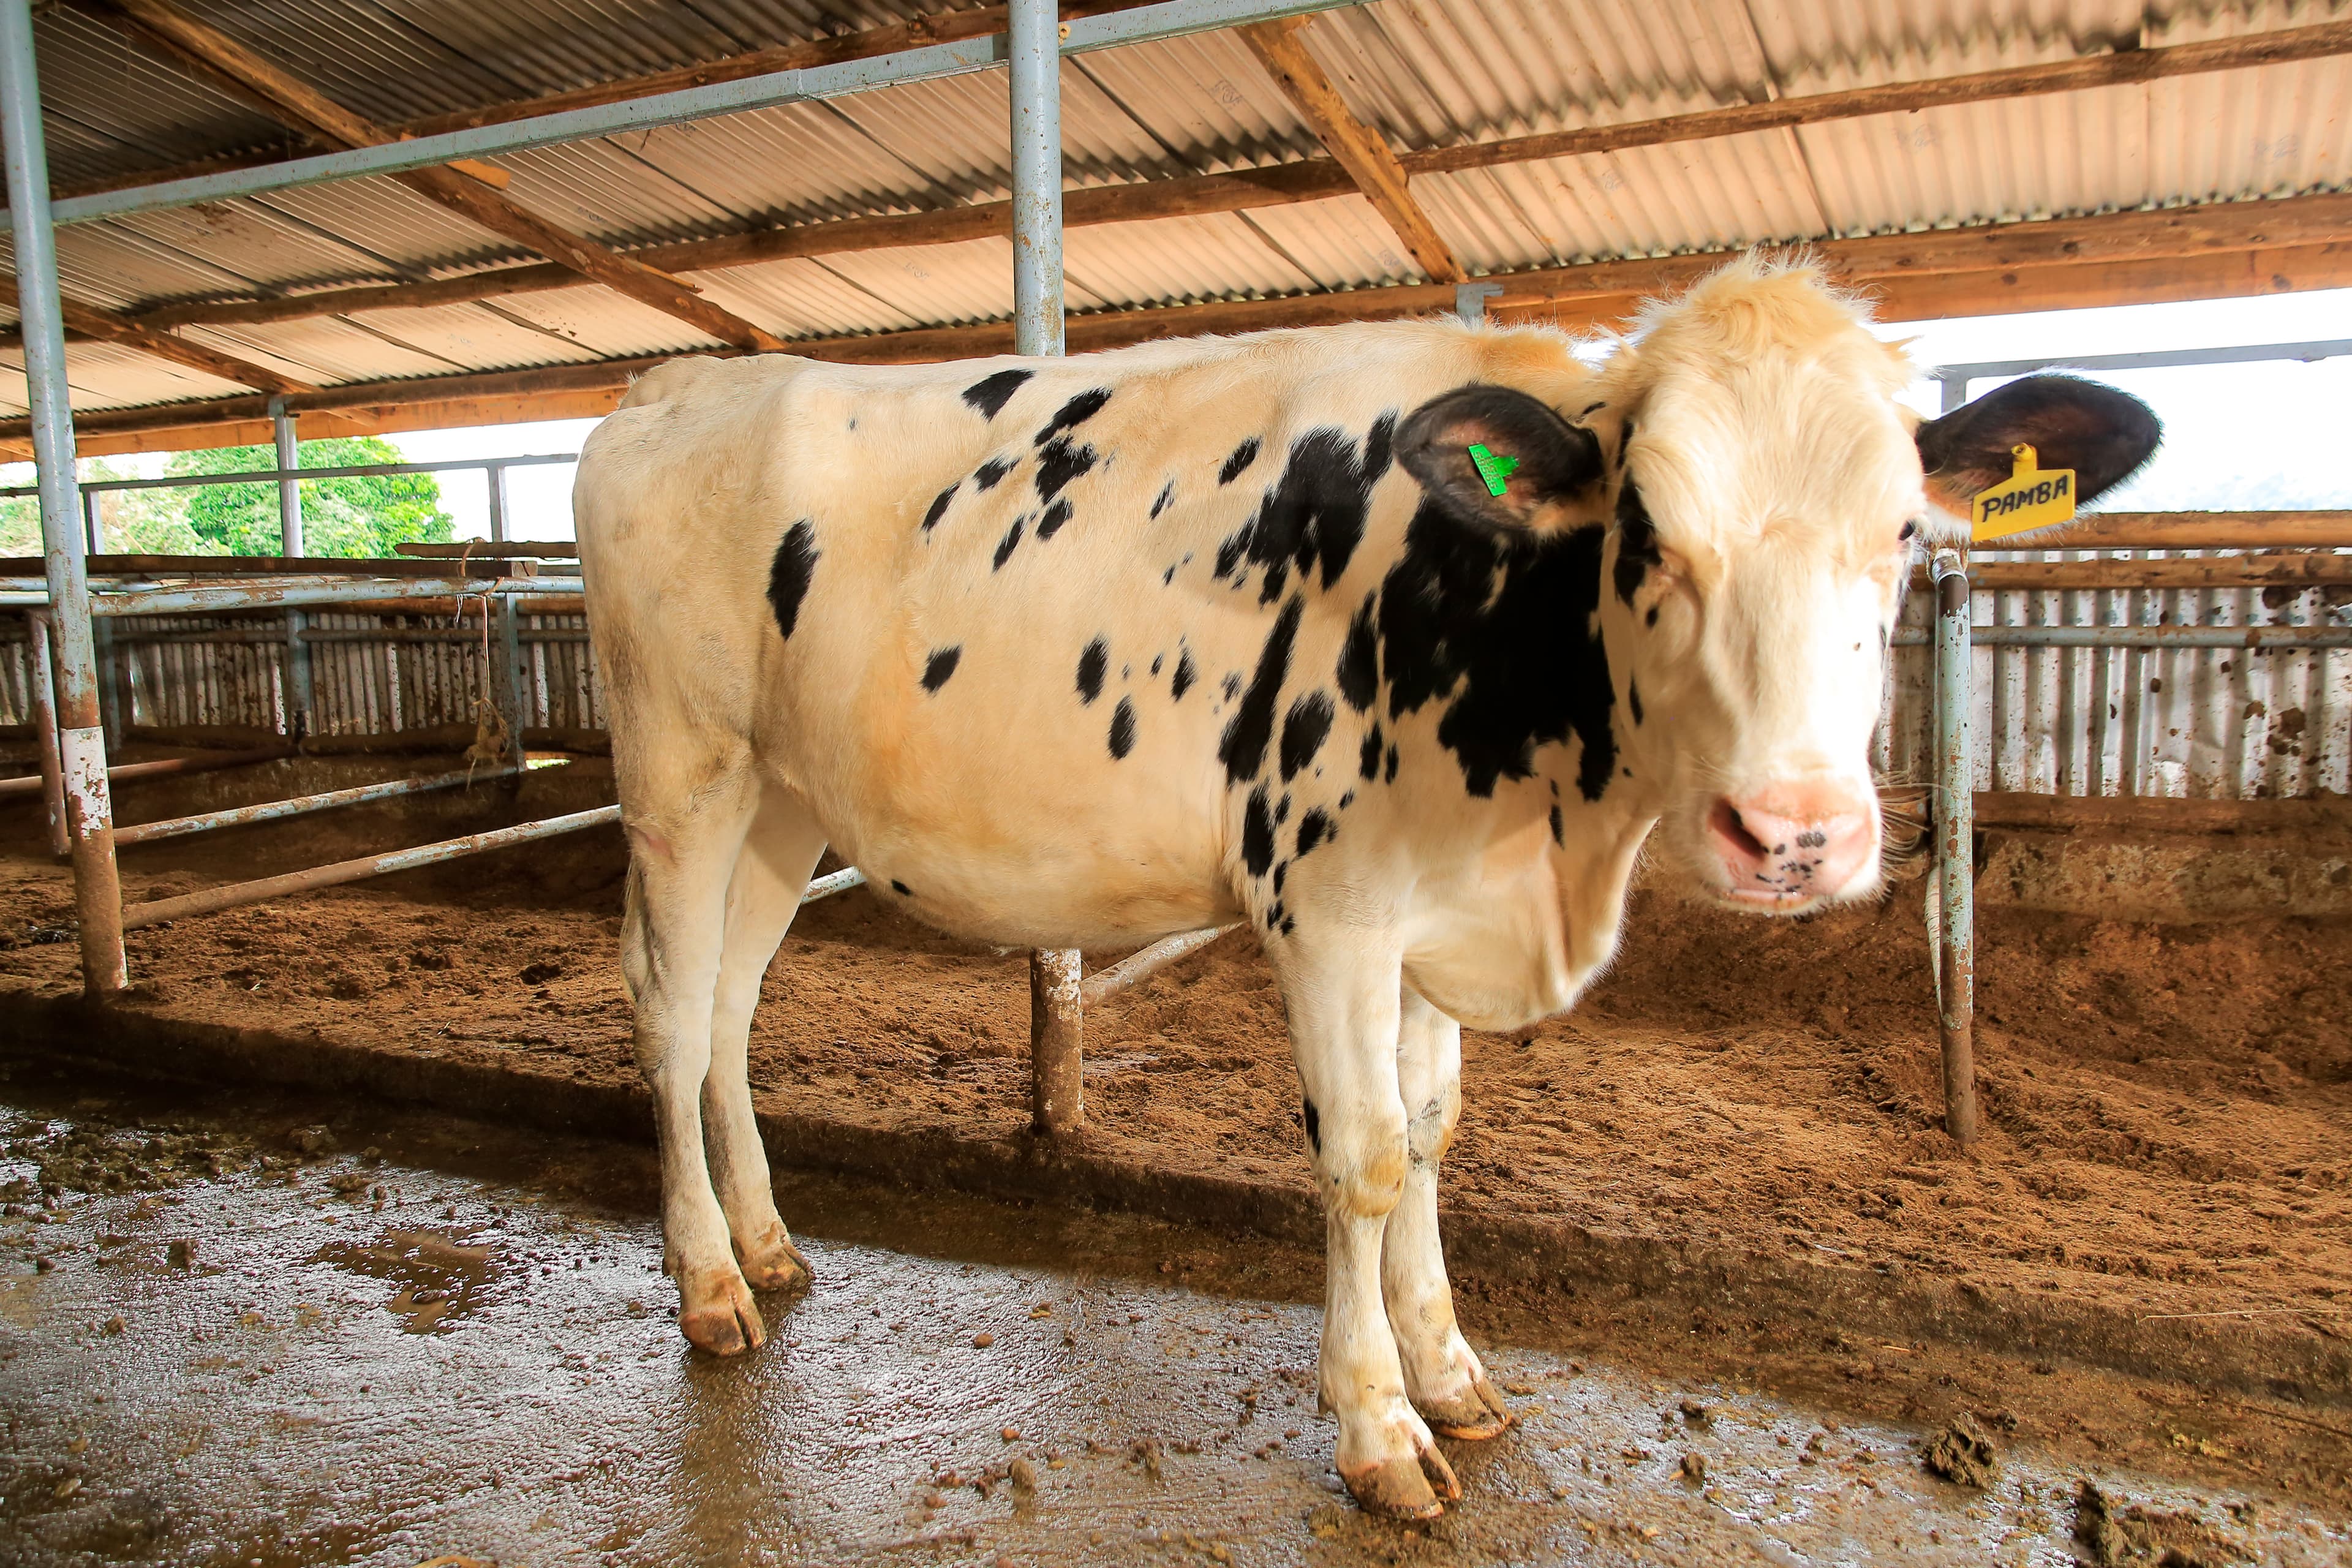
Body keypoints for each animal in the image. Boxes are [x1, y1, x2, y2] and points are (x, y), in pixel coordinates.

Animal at [574, 254, 2158, 1520]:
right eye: (1645, 530)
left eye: (1904, 531)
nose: (1797, 831)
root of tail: (677, 388)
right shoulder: (1327, 908)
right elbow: (1366, 1154)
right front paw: (1381, 1426)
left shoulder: (1434, 909)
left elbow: (1436, 1128)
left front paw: (1450, 1366)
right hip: (680, 772)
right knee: (668, 1007)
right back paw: (709, 1284)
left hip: (784, 799)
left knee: (732, 1005)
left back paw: (769, 1244)